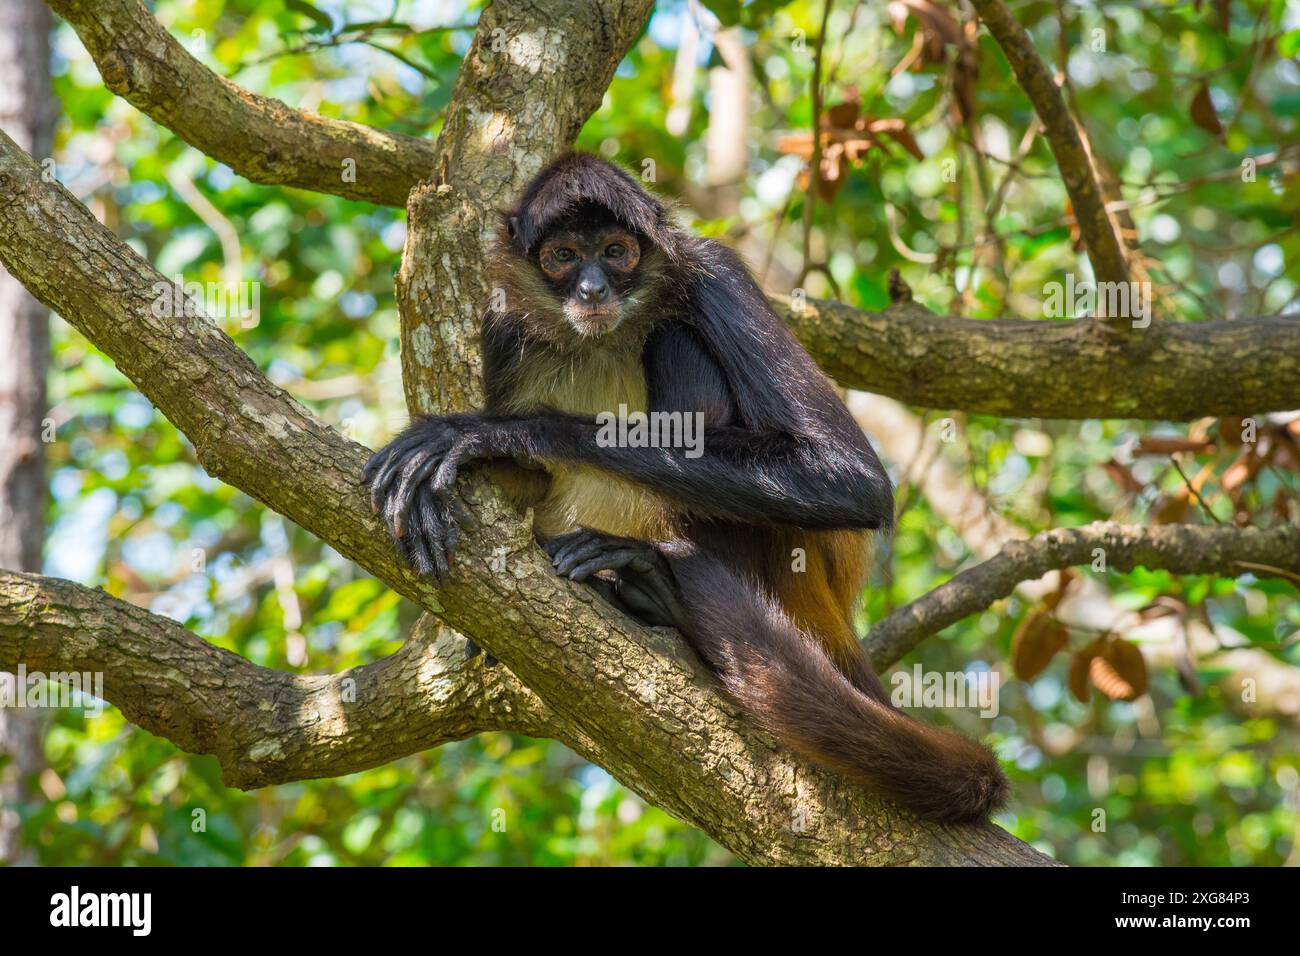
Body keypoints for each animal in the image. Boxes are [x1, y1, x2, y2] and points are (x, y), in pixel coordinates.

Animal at [361, 153, 1008, 827]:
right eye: (563, 257)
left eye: (615, 251)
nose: (592, 290)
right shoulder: (501, 320)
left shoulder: (713, 271)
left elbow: (850, 478)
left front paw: (492, 431)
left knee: (674, 337)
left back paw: (655, 585)